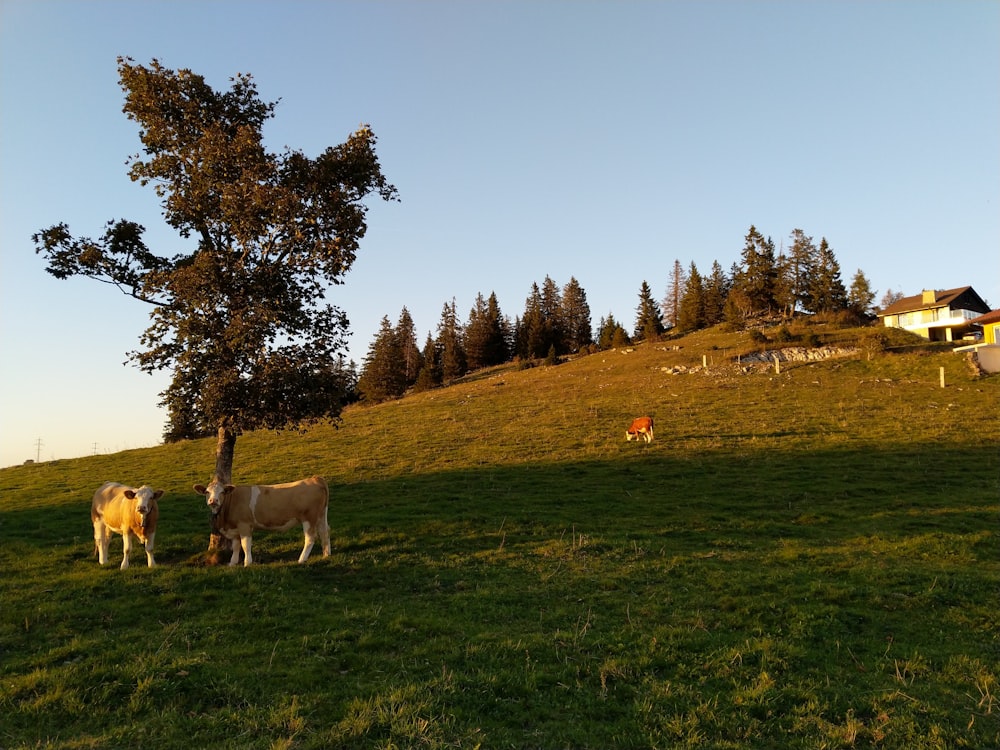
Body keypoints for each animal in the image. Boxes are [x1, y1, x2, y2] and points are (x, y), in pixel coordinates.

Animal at [195, 478, 332, 568]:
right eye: (207, 492)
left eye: (222, 492)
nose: (213, 501)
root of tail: (315, 478)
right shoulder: (235, 528)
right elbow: (236, 546)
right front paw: (232, 563)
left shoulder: (245, 525)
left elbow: (245, 545)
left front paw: (247, 563)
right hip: (321, 515)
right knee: (324, 532)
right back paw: (326, 555)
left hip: (309, 518)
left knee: (310, 538)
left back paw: (301, 559)